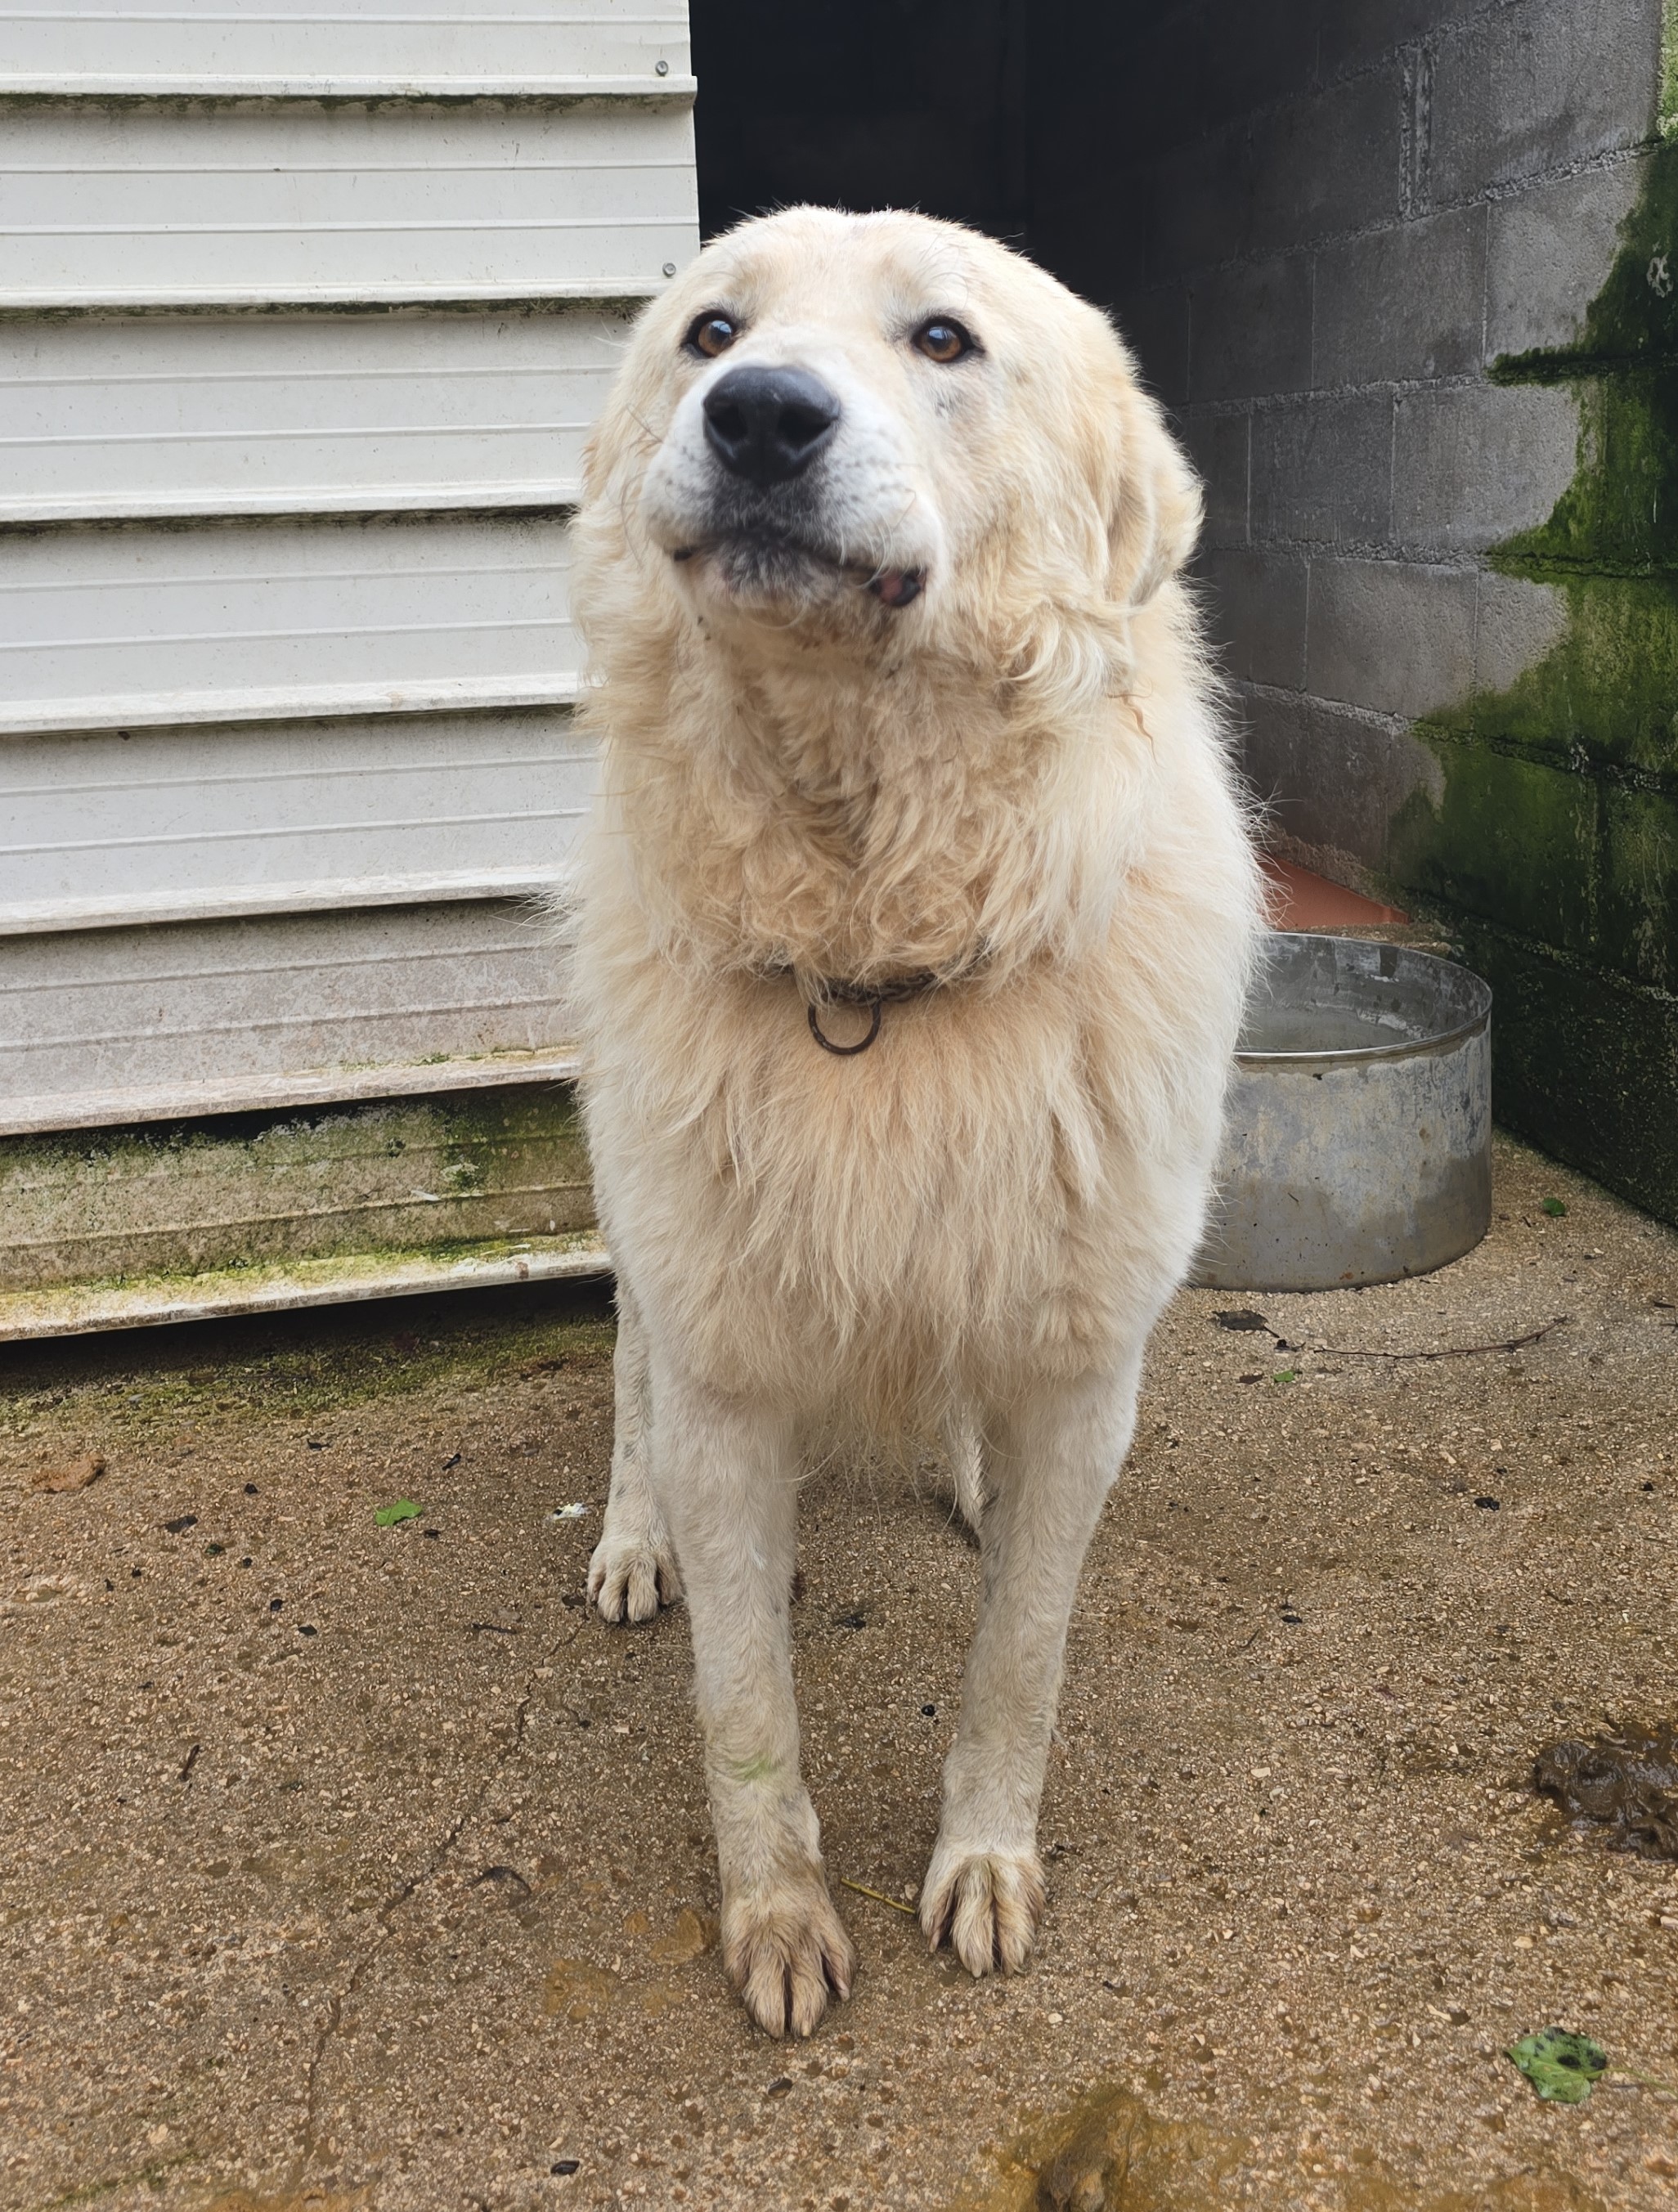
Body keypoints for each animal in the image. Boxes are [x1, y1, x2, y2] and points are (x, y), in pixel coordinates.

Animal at [568, 207, 1262, 2037]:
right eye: (712, 330)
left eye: (942, 340)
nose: (758, 415)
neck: (873, 945)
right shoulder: (725, 1364)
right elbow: (745, 1707)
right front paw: (781, 1922)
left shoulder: (1086, 1370)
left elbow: (1020, 1656)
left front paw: (985, 1866)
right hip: (635, 1212)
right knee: (625, 1359)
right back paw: (631, 1535)